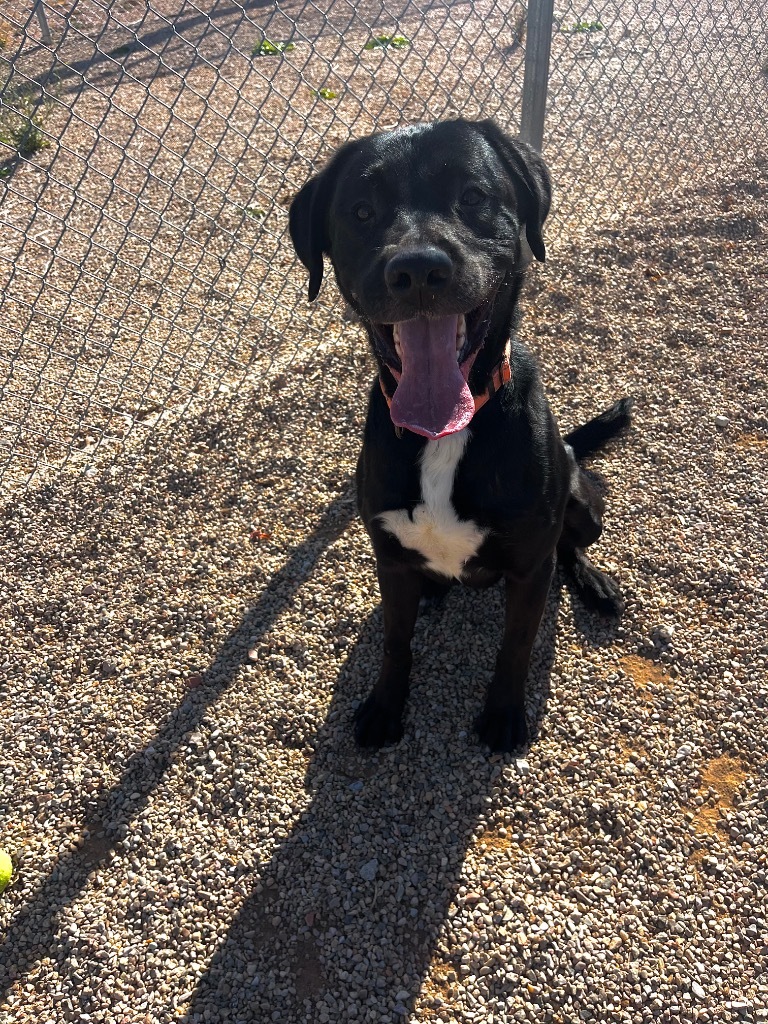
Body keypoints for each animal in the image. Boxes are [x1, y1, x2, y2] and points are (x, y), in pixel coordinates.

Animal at [288, 119, 630, 753]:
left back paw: (594, 583)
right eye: (363, 211)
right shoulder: (389, 561)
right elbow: (395, 643)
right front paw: (384, 706)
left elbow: (515, 647)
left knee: (569, 546)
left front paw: (503, 715)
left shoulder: (528, 570)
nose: (418, 270)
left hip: (580, 503)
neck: (444, 432)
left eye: (472, 196)